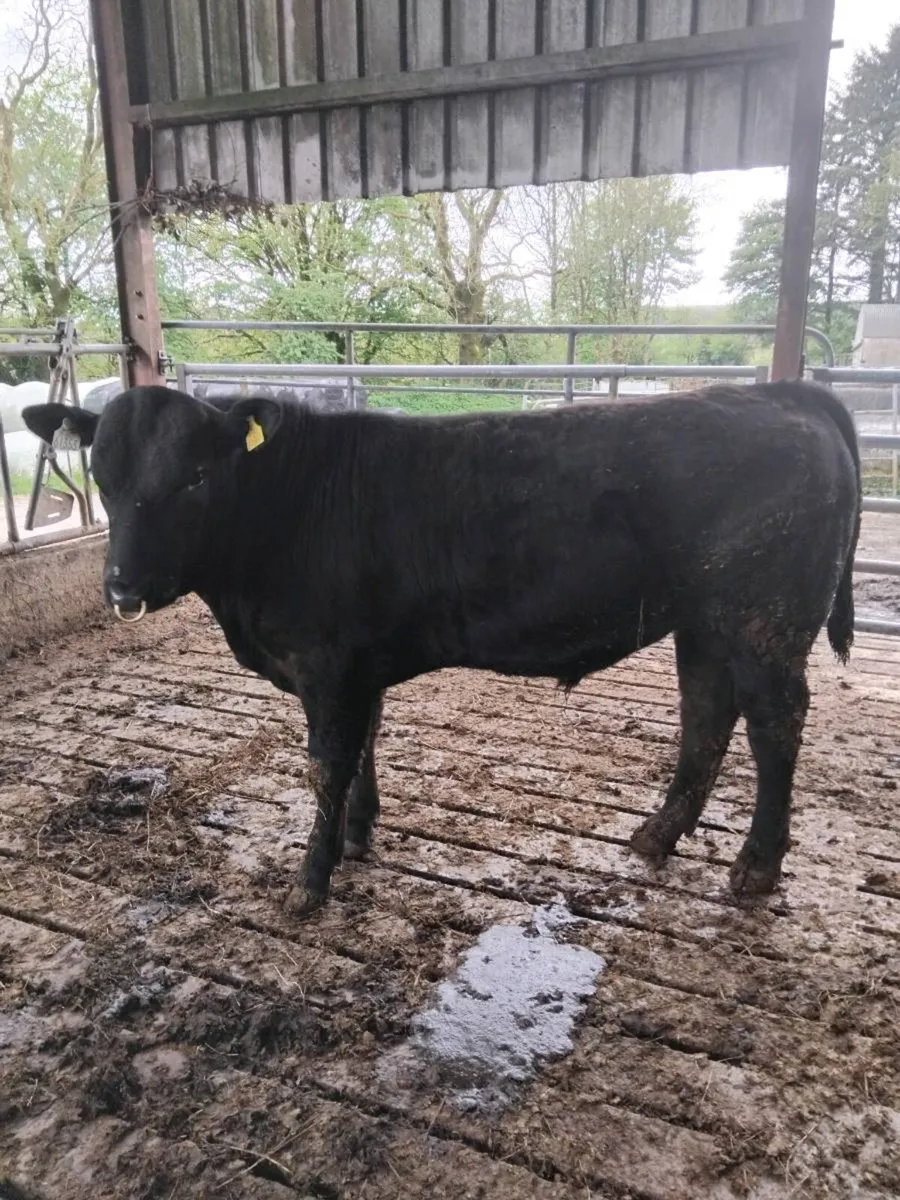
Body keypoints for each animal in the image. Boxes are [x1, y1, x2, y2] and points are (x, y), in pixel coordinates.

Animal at [23, 380, 860, 917]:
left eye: (195, 477)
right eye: (102, 475)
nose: (123, 586)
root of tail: (779, 393)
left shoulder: (327, 667)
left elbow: (326, 764)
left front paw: (310, 881)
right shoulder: (358, 666)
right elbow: (365, 745)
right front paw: (359, 833)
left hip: (764, 622)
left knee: (775, 725)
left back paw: (755, 867)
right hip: (705, 622)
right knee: (706, 717)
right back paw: (656, 835)